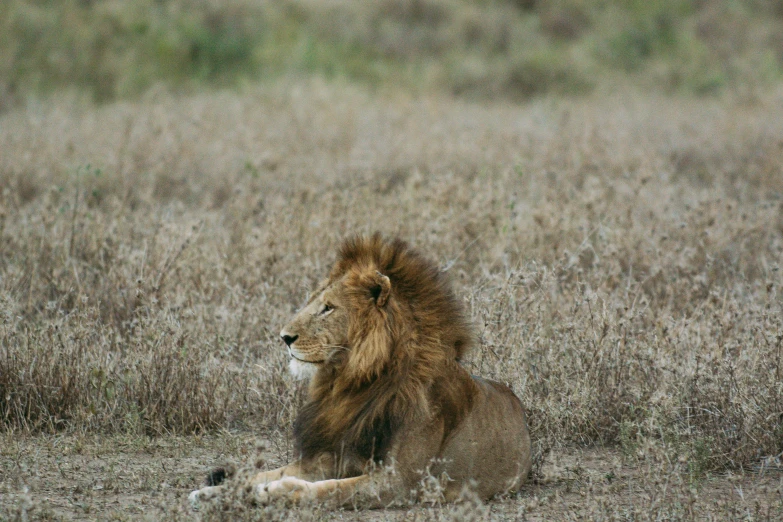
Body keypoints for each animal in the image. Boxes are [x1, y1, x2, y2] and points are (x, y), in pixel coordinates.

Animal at [190, 234, 532, 506]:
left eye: (328, 307)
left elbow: (329, 490)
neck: (353, 384)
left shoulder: (401, 482)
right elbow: (261, 473)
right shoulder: (333, 455)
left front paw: (275, 492)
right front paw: (214, 491)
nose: (284, 337)